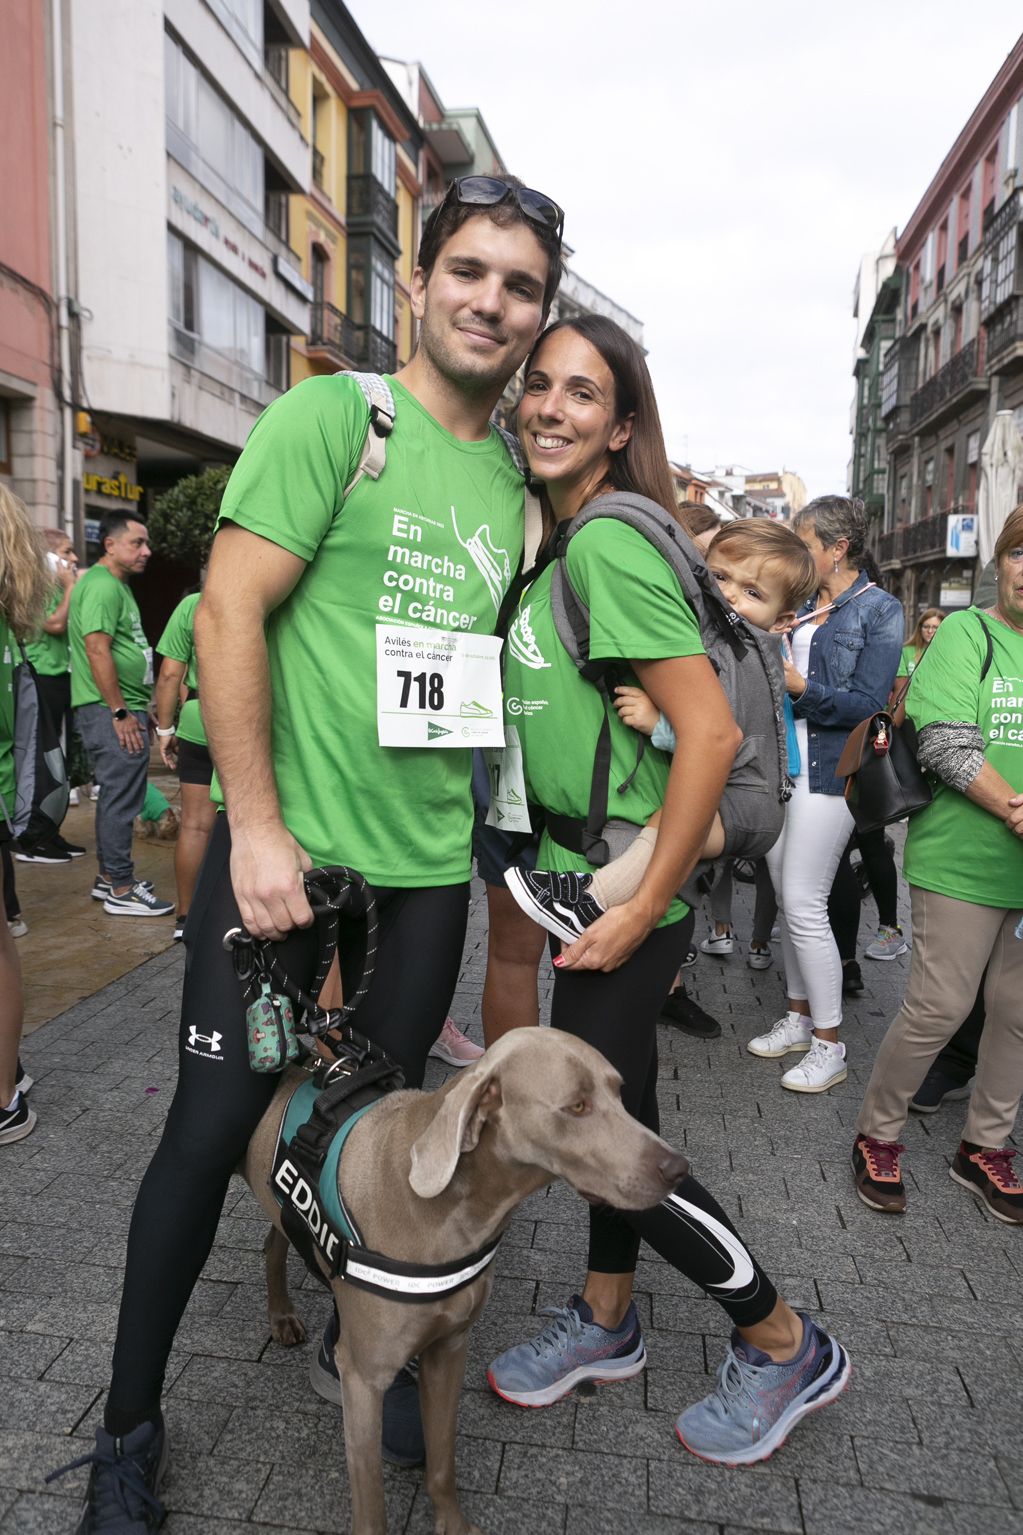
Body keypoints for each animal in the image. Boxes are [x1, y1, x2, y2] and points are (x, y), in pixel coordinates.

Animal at [241, 1019, 685, 1535]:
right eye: (577, 1106)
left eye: (618, 1092)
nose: (679, 1168)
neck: (453, 1210)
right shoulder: (364, 1378)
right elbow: (371, 1504)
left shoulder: (448, 1350)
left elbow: (441, 1459)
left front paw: (452, 1523)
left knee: (274, 1241)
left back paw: (282, 1315)